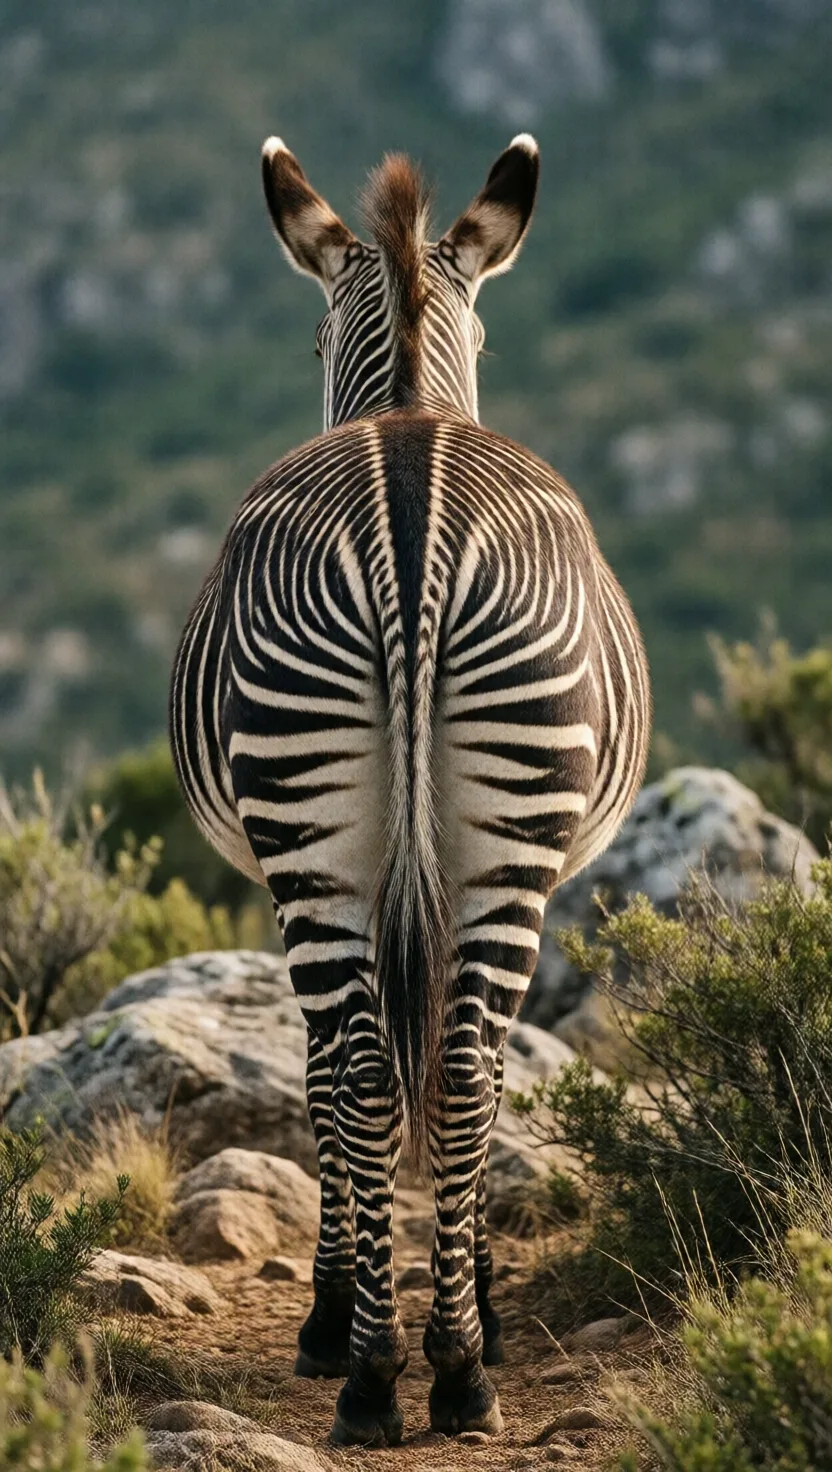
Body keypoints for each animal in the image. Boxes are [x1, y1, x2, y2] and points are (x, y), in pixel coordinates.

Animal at [170, 133, 650, 1447]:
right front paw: (443, 1296)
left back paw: (391, 1369)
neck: (408, 400)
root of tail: (409, 493)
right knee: (451, 1062)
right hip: (474, 821)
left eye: (307, 341)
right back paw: (436, 1367)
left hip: (335, 827)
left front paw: (348, 1309)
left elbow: (326, 1070)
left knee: (387, 1066)